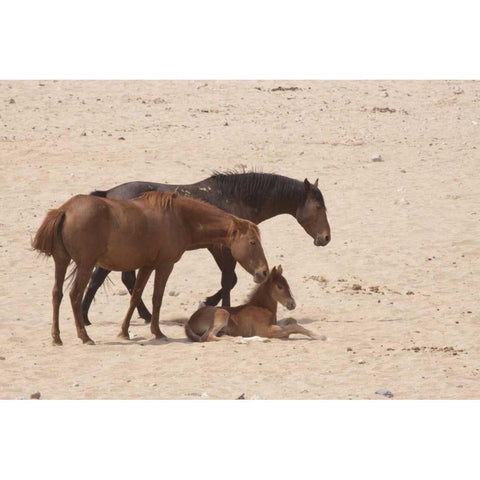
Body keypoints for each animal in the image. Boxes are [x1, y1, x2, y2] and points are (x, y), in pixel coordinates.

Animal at [31, 191, 268, 344]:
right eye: (253, 242)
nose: (264, 272)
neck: (179, 217)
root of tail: (65, 209)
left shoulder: (146, 266)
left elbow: (136, 296)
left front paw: (124, 332)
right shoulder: (165, 265)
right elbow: (157, 298)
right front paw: (157, 332)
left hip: (61, 261)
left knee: (57, 294)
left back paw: (57, 337)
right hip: (85, 265)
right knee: (74, 295)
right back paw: (85, 336)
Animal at [81, 171, 330, 324]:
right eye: (318, 207)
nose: (326, 238)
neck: (235, 198)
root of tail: (108, 194)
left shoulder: (219, 249)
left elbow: (229, 280)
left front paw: (211, 302)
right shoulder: (224, 249)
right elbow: (229, 280)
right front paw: (219, 306)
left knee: (119, 279)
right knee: (101, 278)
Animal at [184, 266, 316, 342]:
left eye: (287, 284)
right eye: (280, 286)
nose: (292, 304)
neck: (262, 307)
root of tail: (190, 321)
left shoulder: (273, 324)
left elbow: (291, 321)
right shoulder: (265, 330)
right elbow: (293, 327)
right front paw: (317, 335)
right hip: (222, 313)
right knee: (208, 337)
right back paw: (241, 339)